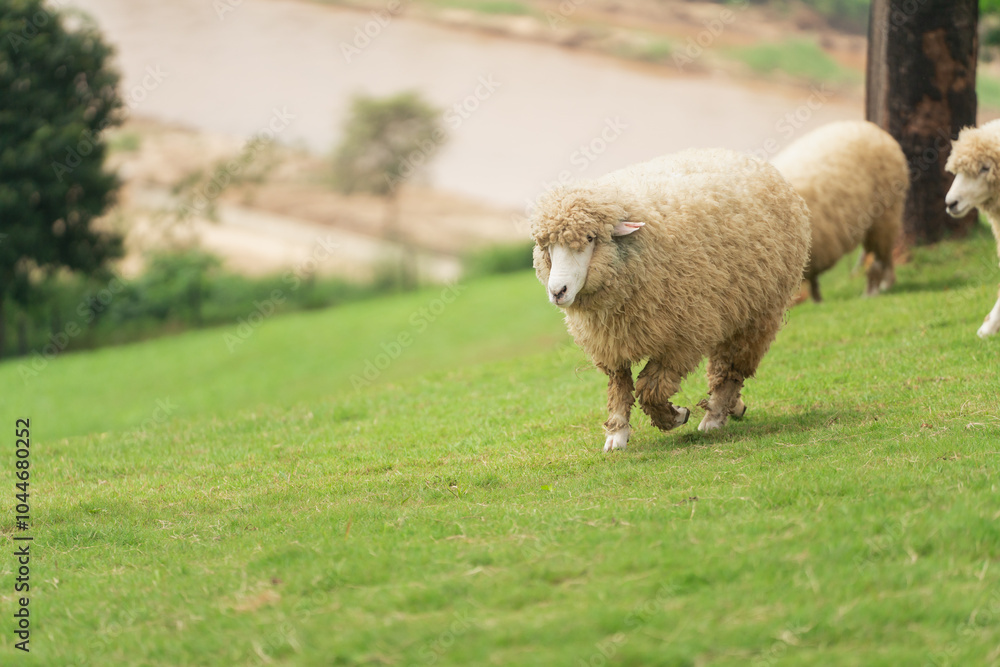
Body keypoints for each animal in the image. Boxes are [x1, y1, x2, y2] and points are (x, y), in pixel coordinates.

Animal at [530, 148, 811, 451]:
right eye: (547, 247)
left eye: (591, 238)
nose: (558, 291)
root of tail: (748, 158)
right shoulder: (612, 341)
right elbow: (619, 387)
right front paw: (617, 435)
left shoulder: (682, 340)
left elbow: (650, 389)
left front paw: (675, 416)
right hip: (730, 306)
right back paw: (734, 407)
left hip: (758, 314)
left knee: (731, 369)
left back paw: (714, 415)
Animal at [771, 120, 909, 302]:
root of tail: (876, 130)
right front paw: (817, 301)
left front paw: (818, 301)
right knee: (886, 254)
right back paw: (887, 283)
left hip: (885, 213)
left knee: (880, 258)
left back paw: (872, 292)